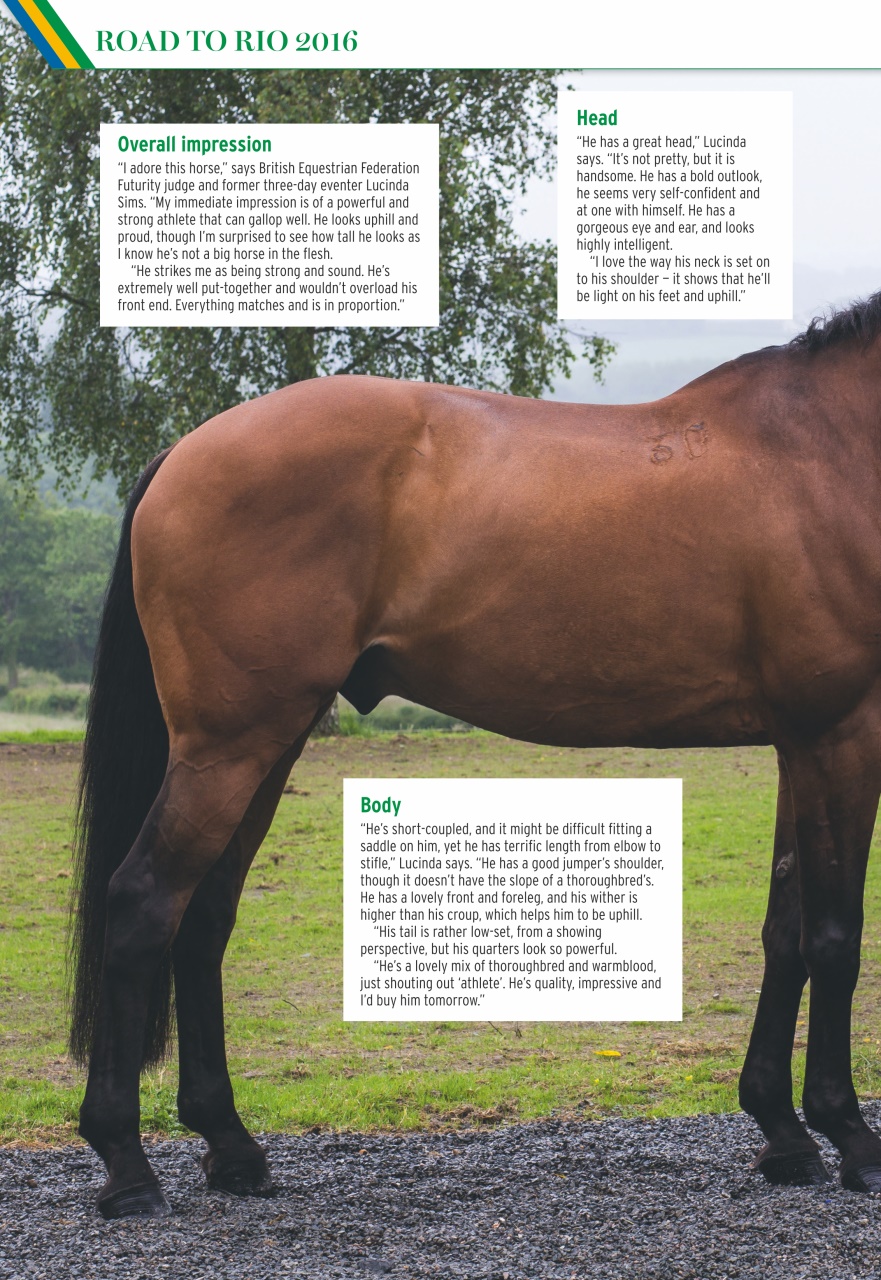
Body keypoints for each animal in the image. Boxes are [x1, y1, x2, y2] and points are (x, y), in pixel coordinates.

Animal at [70, 292, 881, 1217]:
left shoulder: (799, 740)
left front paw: (782, 1135)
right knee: (143, 904)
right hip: (228, 747)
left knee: (201, 917)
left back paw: (232, 1149)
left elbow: (786, 931)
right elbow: (834, 937)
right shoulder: (843, 733)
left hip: (262, 745)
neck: (829, 449)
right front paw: (849, 1137)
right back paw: (127, 1166)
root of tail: (187, 449)